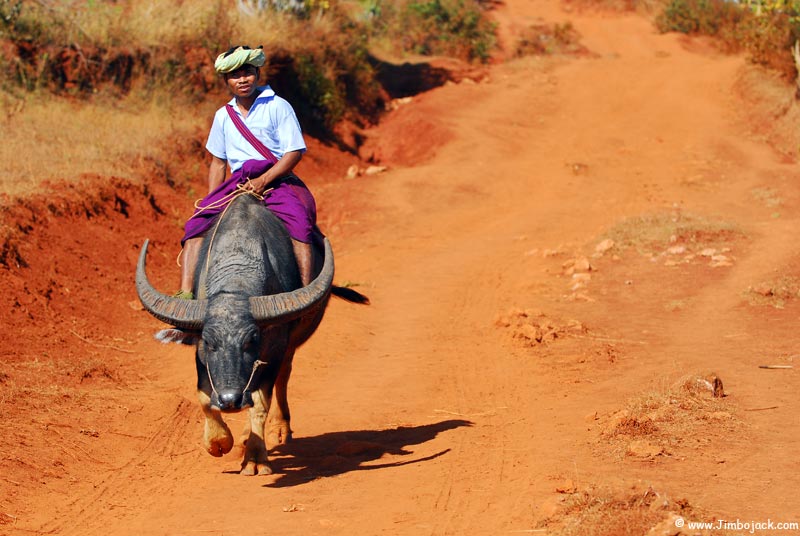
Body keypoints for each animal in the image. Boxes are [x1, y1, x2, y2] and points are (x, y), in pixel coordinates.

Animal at [138, 196, 362, 474]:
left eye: (250, 341)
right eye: (209, 343)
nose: (229, 400)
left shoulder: (273, 350)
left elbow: (260, 402)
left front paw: (255, 457)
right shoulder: (201, 357)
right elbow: (204, 397)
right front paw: (218, 442)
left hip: (289, 346)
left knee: (282, 377)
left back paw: (277, 429)